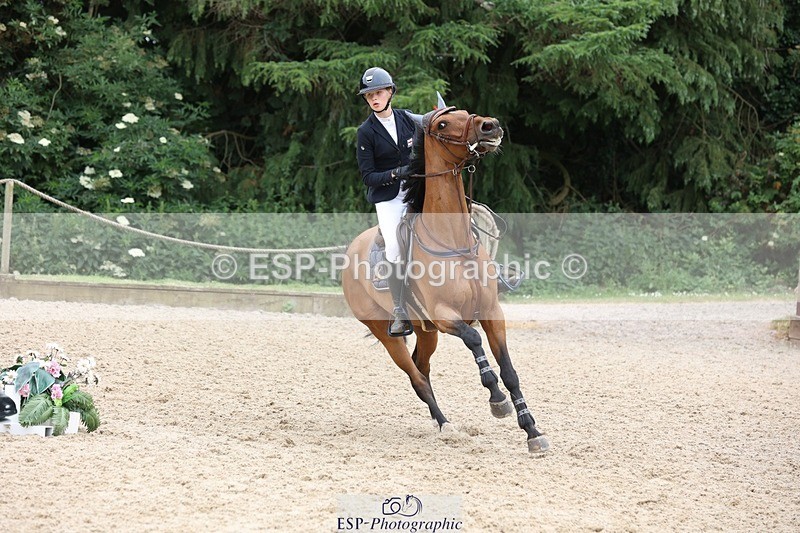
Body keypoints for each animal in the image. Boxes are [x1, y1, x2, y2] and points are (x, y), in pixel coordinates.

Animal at [342, 105, 549, 454]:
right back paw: (446, 425)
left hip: (427, 332)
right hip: (388, 333)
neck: (455, 242)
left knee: (421, 366)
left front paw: (532, 431)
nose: (491, 127)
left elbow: (510, 372)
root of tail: (350, 250)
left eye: (466, 113)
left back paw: (442, 422)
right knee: (416, 377)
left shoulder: (491, 313)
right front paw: (497, 400)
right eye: (442, 124)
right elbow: (474, 340)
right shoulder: (444, 316)